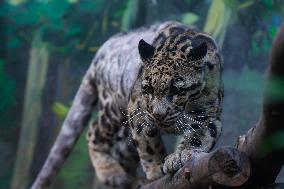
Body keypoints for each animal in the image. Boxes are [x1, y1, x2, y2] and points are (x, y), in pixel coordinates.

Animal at [31, 21, 222, 188]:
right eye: (147, 88)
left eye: (176, 89)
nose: (158, 114)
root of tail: (104, 47)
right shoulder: (138, 110)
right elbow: (148, 145)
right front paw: (156, 169)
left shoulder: (208, 114)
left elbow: (200, 137)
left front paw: (182, 155)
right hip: (112, 108)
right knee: (93, 131)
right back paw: (112, 173)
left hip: (124, 136)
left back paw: (132, 180)